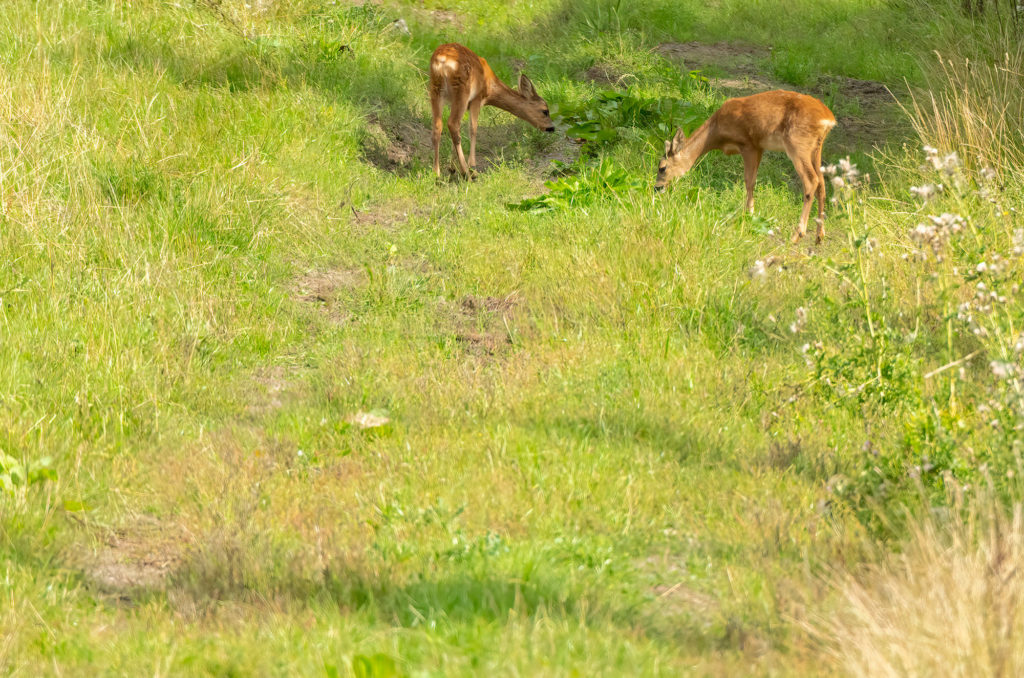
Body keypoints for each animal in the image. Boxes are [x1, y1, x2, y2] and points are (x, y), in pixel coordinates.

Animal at [428, 43, 557, 179]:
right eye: (545, 111)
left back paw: (436, 173)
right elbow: (473, 129)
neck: (491, 87)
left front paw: (451, 167)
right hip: (462, 89)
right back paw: (466, 172)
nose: (552, 127)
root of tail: (441, 62)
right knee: (453, 123)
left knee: (438, 126)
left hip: (435, 90)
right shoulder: (477, 98)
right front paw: (472, 167)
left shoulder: (453, 102)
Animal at [655, 90, 839, 244]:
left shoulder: (748, 144)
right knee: (822, 184)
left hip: (798, 143)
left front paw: (749, 214)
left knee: (811, 181)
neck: (716, 131)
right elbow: (753, 181)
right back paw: (819, 235)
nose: (657, 188)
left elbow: (749, 181)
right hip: (815, 148)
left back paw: (797, 234)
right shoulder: (759, 147)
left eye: (662, 167)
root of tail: (828, 119)